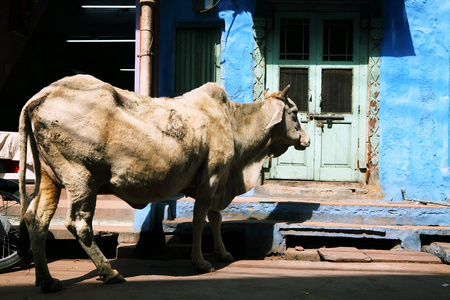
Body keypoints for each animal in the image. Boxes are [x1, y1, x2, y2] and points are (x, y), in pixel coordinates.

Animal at [15, 74, 308, 292]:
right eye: (294, 112)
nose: (306, 139)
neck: (233, 124)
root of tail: (42, 96)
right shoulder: (211, 179)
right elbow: (201, 220)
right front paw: (201, 262)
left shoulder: (217, 182)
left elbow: (215, 218)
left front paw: (223, 254)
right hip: (81, 178)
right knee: (78, 222)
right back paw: (109, 272)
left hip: (50, 180)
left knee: (36, 220)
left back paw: (47, 281)